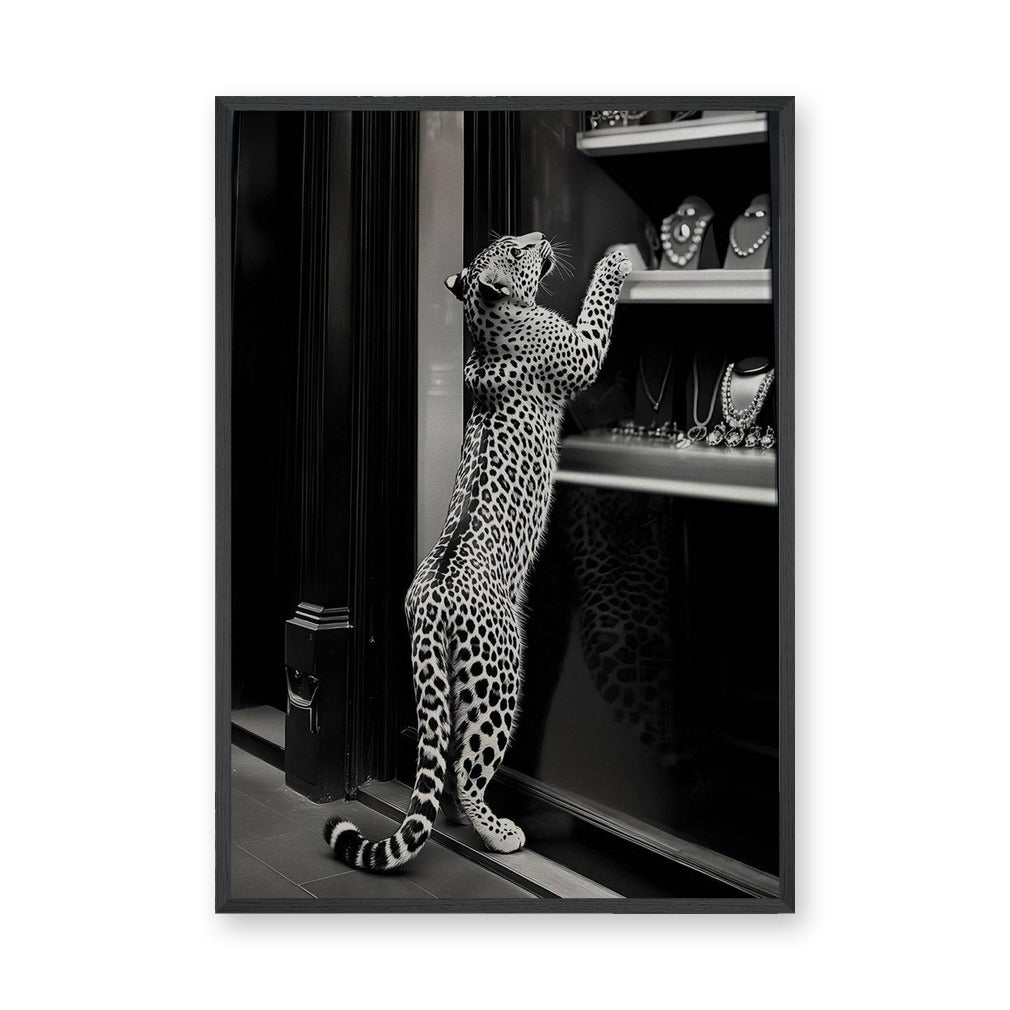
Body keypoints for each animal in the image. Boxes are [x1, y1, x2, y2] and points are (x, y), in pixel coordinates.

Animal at [323, 232, 631, 870]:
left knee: (448, 756)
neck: (486, 324)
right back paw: (501, 833)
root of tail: (432, 597)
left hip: (451, 677)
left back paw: (473, 822)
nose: (541, 238)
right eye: (515, 250)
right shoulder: (581, 351)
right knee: (467, 769)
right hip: (501, 675)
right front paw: (616, 258)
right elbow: (597, 307)